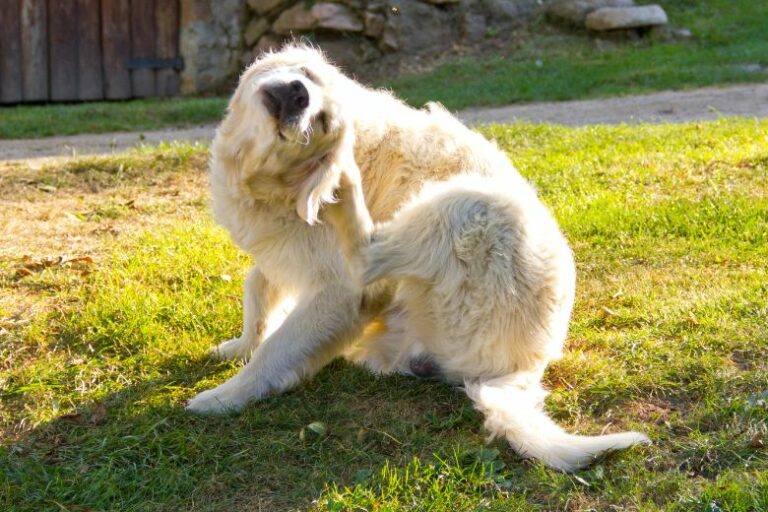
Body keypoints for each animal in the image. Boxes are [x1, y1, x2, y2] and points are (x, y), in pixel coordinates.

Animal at [188, 45, 648, 472]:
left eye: (323, 123)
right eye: (305, 75)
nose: (301, 94)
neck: (270, 182)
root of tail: (522, 369)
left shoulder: (339, 292)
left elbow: (276, 349)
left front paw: (224, 396)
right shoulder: (281, 252)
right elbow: (257, 289)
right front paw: (241, 345)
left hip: (472, 204)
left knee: (369, 255)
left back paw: (346, 187)